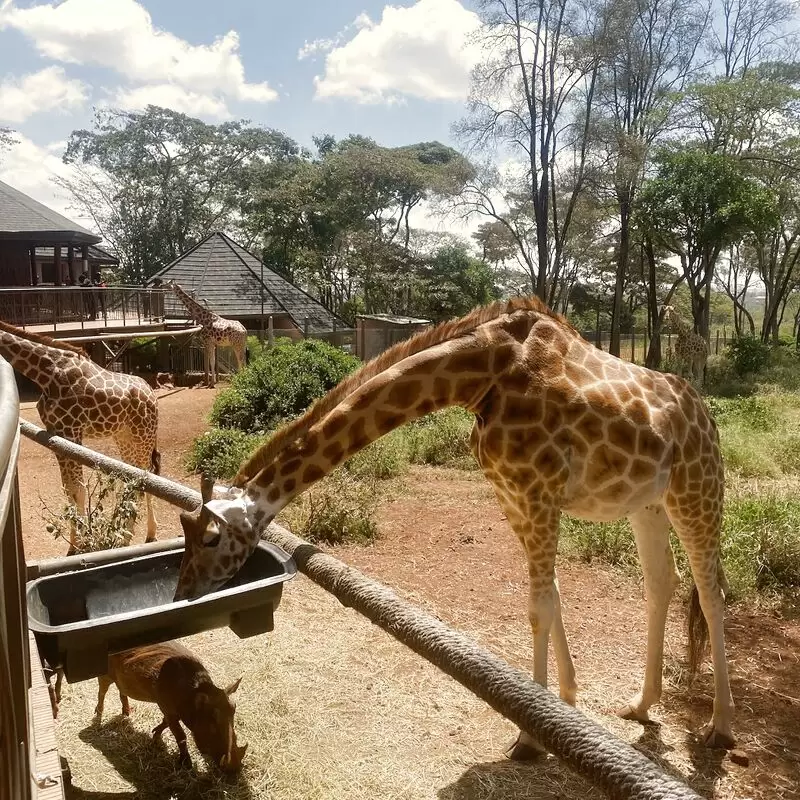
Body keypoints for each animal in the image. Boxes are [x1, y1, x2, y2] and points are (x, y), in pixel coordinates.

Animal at [0, 318, 161, 552]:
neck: (46, 373)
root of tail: (153, 396)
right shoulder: (56, 433)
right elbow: (69, 490)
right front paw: (75, 544)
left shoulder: (71, 431)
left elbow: (79, 490)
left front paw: (83, 543)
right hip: (124, 437)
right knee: (131, 478)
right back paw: (124, 533)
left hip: (144, 436)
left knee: (146, 477)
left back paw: (142, 534)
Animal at [172, 296, 736, 752]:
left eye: (211, 538)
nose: (182, 594)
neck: (480, 377)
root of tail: (706, 416)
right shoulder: (514, 497)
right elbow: (551, 598)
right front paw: (564, 707)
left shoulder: (538, 494)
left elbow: (537, 608)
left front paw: (530, 738)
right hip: (647, 504)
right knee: (661, 582)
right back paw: (642, 705)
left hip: (697, 488)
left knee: (710, 591)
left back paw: (719, 728)